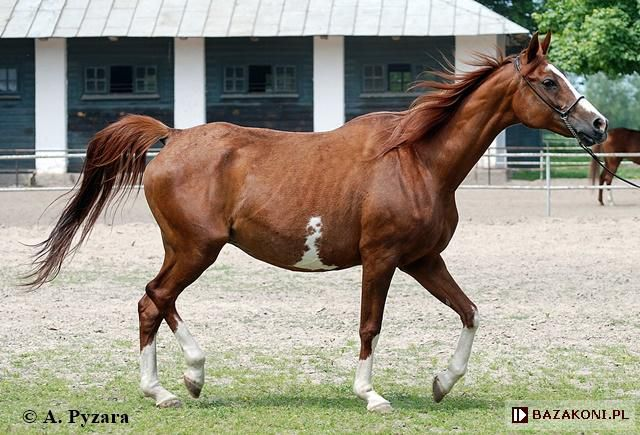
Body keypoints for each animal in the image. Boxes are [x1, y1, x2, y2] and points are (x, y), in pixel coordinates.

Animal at [27, 32, 607, 412]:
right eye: (549, 82)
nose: (598, 124)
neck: (418, 160)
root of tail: (173, 136)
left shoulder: (423, 260)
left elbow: (470, 312)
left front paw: (442, 382)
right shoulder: (382, 259)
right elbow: (371, 325)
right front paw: (372, 396)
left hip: (185, 249)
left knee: (156, 300)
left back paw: (185, 381)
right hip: (196, 249)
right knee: (154, 299)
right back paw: (170, 387)